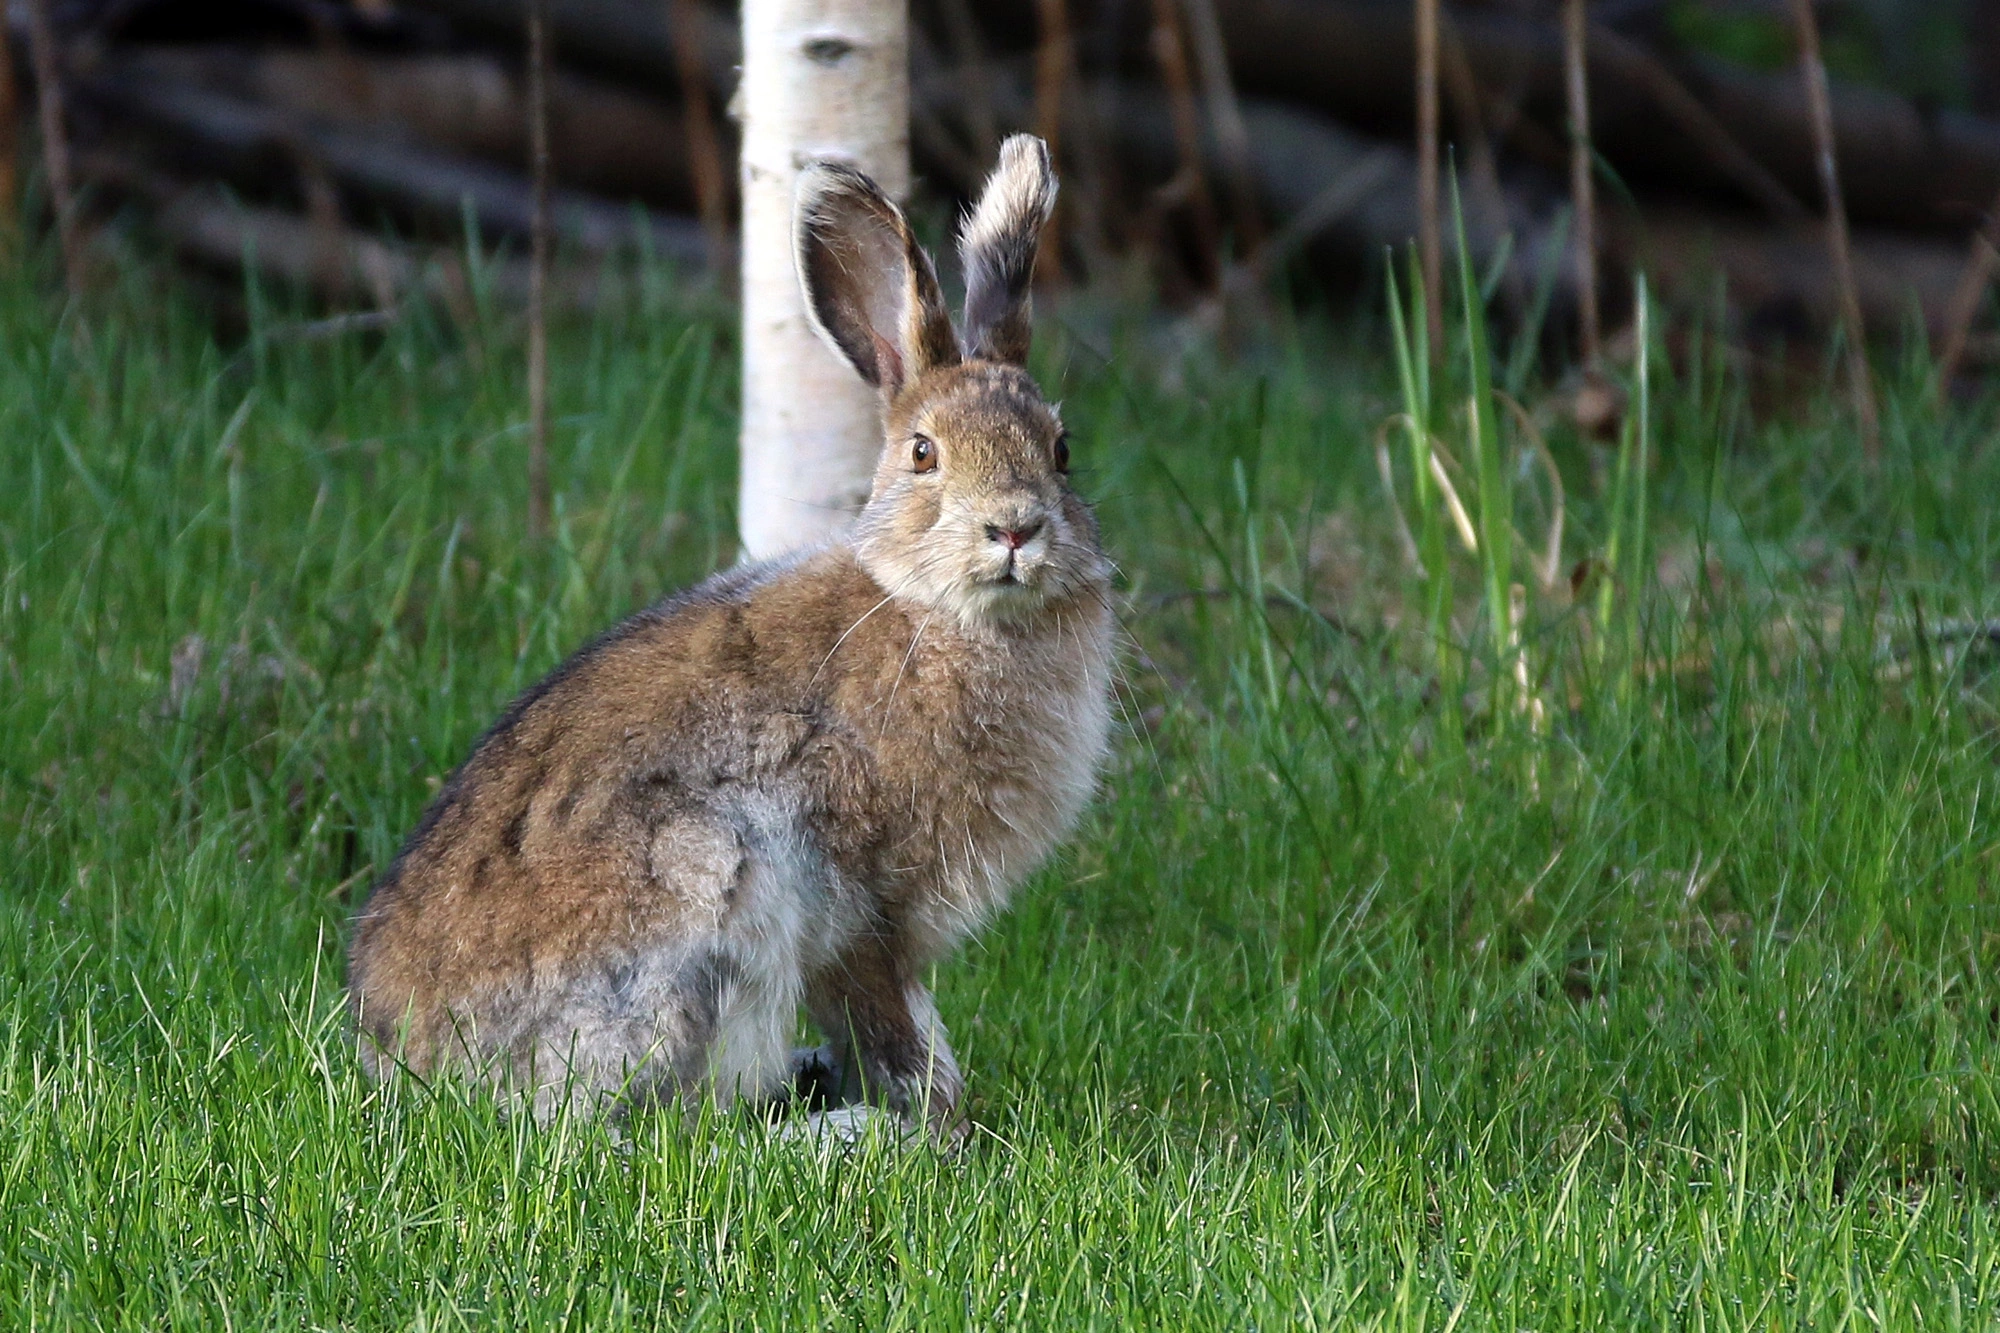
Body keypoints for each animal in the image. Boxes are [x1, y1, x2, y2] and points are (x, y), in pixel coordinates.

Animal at [347, 135, 1114, 1140]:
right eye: (924, 453)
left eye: (1062, 451)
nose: (1017, 528)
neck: (934, 611)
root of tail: (409, 1060)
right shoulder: (865, 903)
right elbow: (895, 1024)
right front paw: (933, 1124)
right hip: (702, 898)